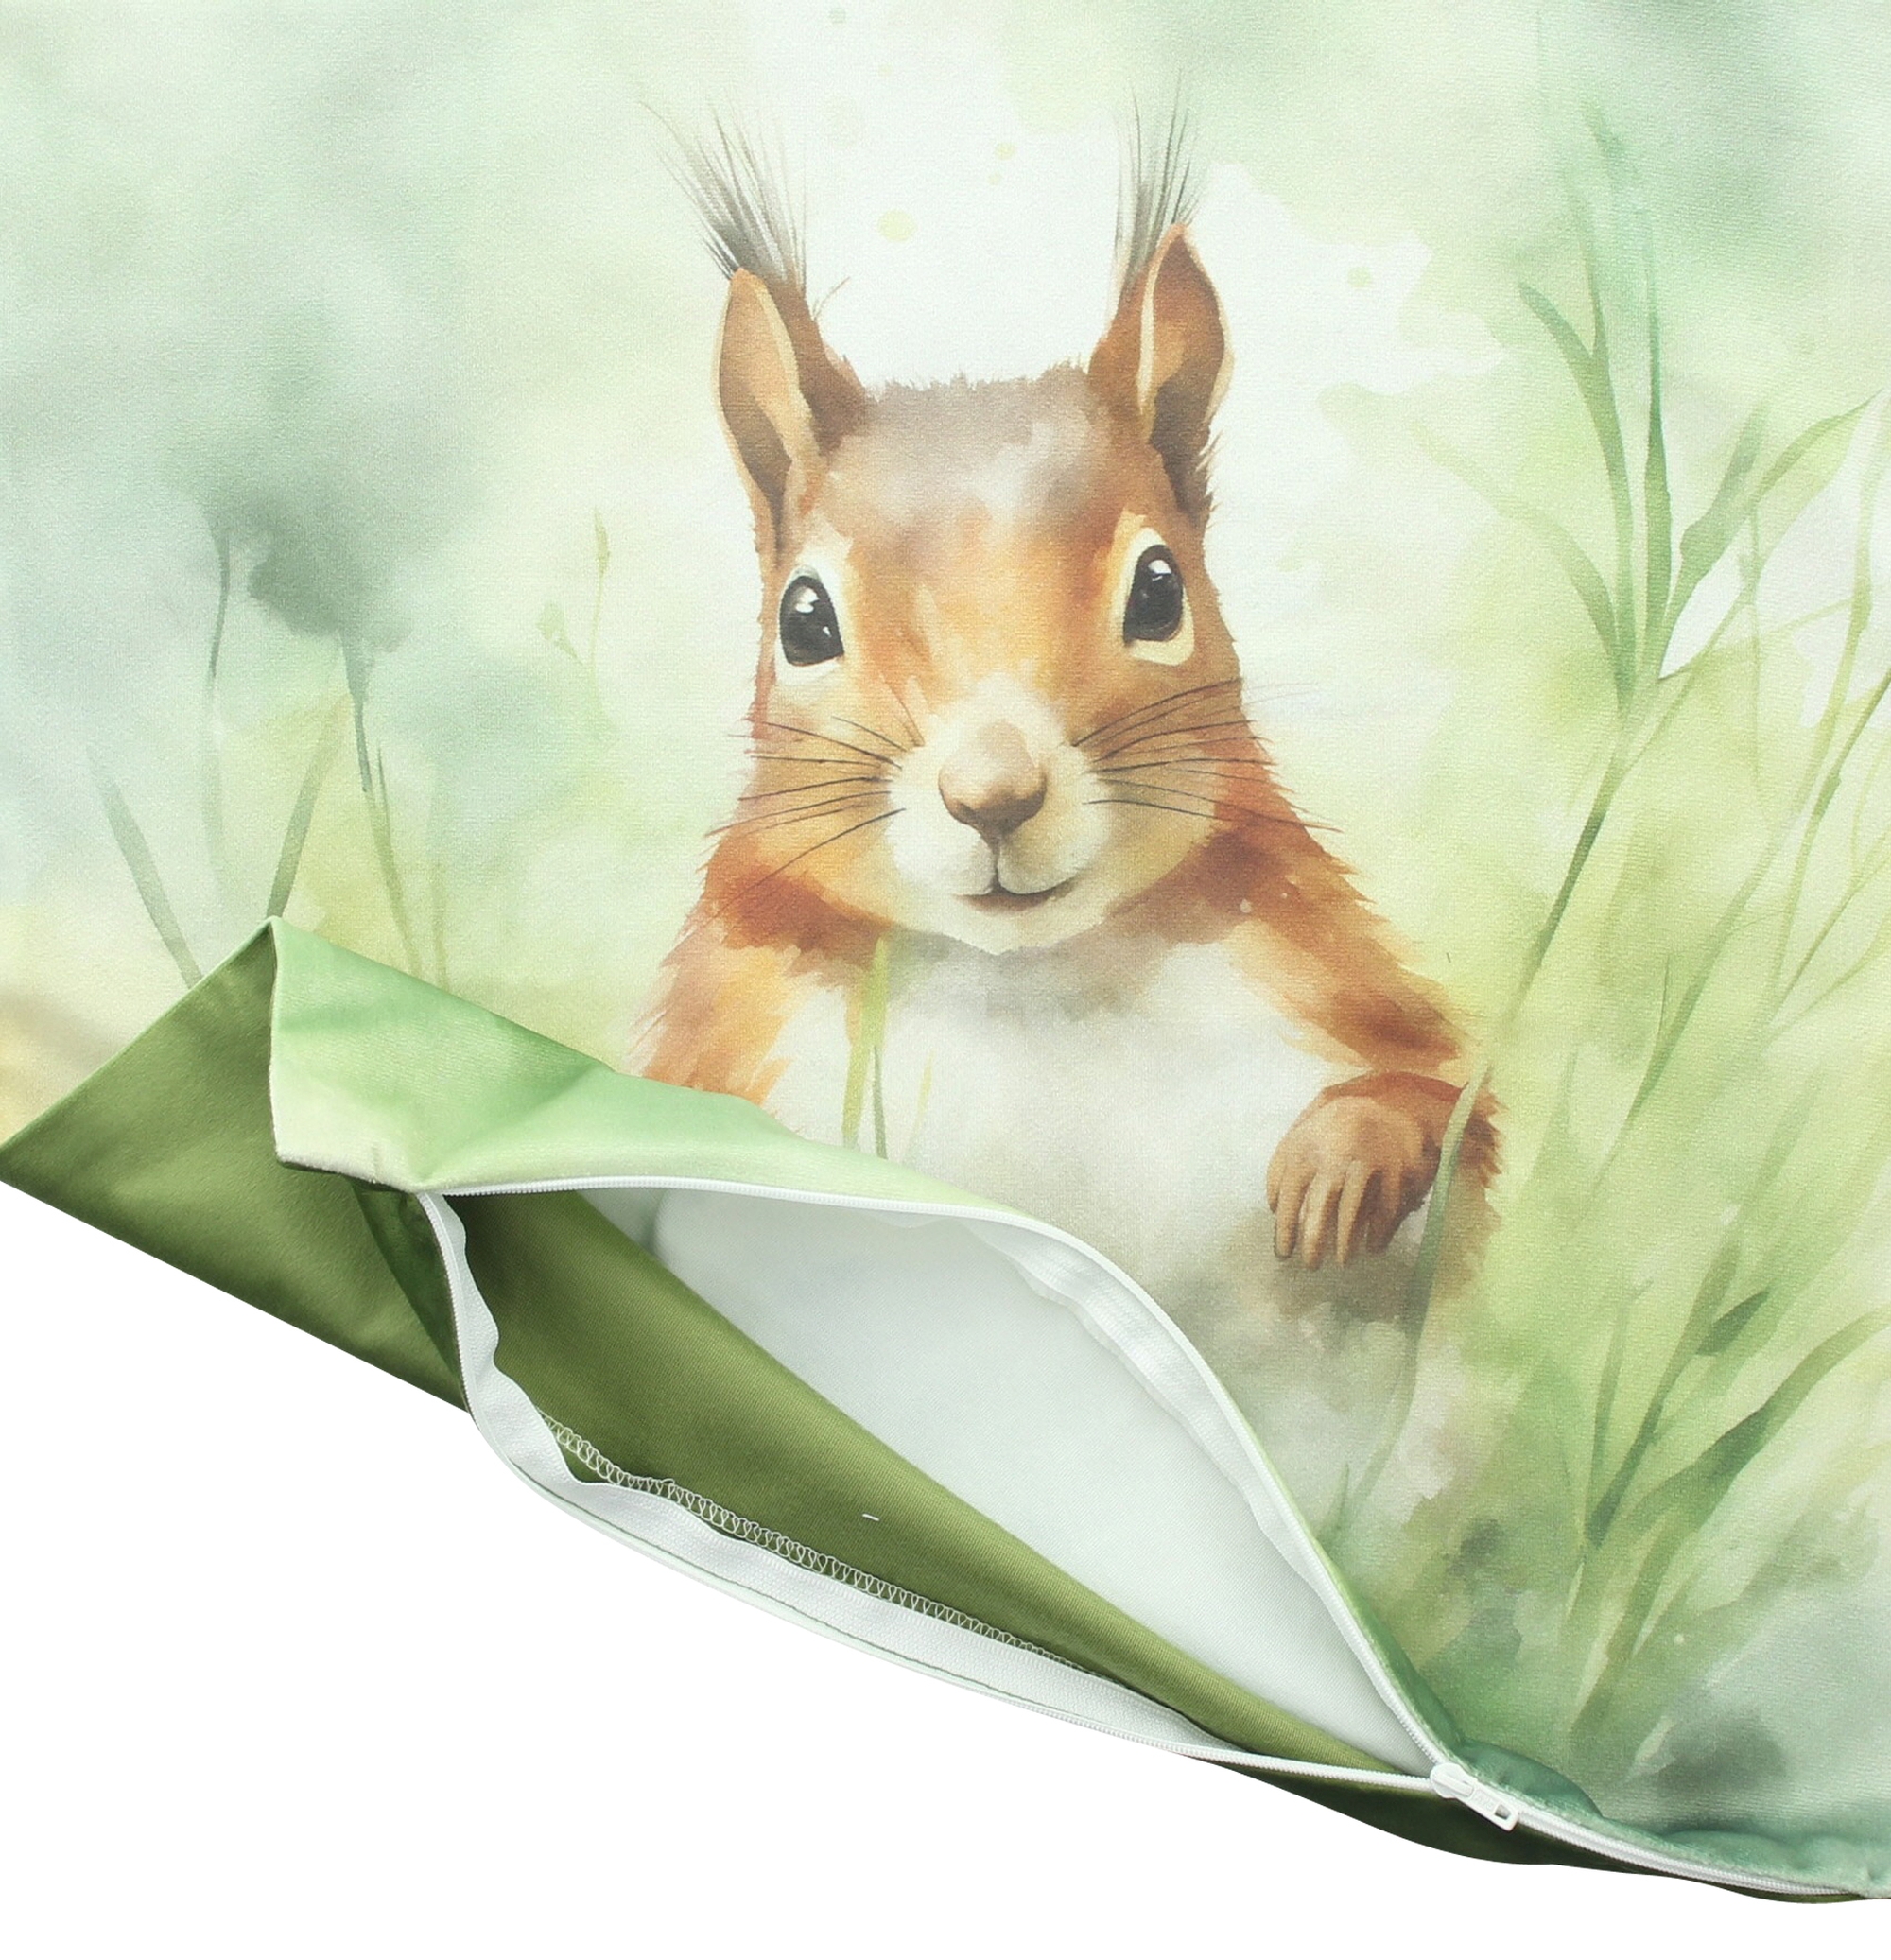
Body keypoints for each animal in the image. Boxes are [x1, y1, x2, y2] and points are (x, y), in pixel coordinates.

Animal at [638, 124, 1495, 1319]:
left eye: (1159, 591)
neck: (1033, 984)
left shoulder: (1336, 991)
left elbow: (1445, 1097)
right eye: (802, 621)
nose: (992, 797)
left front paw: (1337, 1168)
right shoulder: (717, 1052)